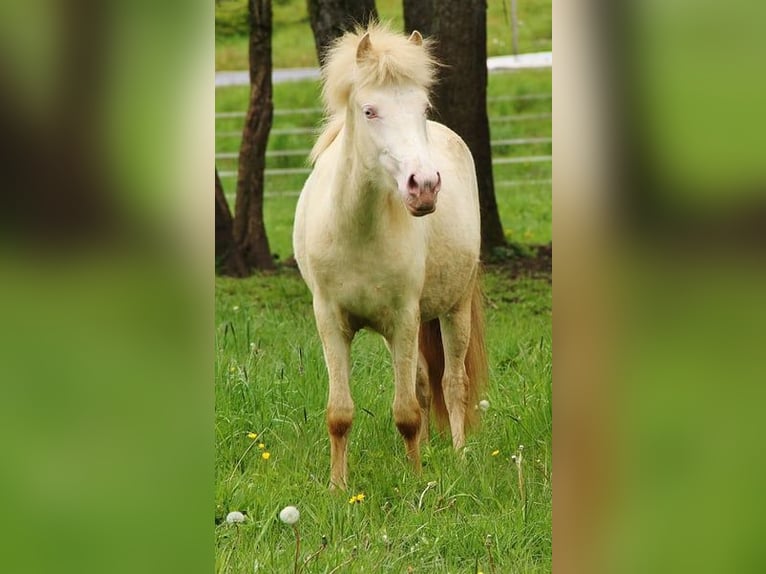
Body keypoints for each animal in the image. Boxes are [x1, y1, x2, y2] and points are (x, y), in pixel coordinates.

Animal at [292, 23, 488, 490]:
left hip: (453, 310)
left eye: (422, 108)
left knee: (453, 383)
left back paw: (458, 456)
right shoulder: (331, 320)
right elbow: (341, 413)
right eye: (369, 111)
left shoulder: (403, 316)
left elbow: (407, 413)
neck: (357, 231)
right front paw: (338, 487)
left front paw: (416, 481)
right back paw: (432, 448)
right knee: (423, 381)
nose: (425, 185)